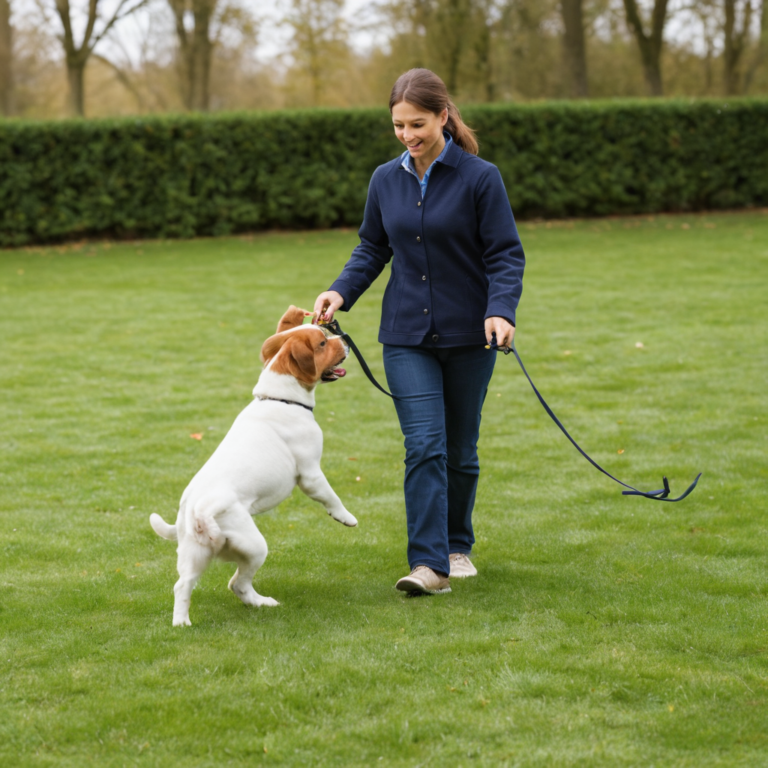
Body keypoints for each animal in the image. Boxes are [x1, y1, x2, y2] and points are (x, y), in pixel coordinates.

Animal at [149, 306, 356, 624]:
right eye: (323, 342)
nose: (344, 339)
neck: (280, 399)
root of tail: (199, 510)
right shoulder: (310, 474)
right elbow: (331, 497)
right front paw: (346, 517)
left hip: (194, 554)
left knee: (183, 585)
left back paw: (182, 622)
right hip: (254, 546)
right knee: (237, 583)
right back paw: (260, 602)